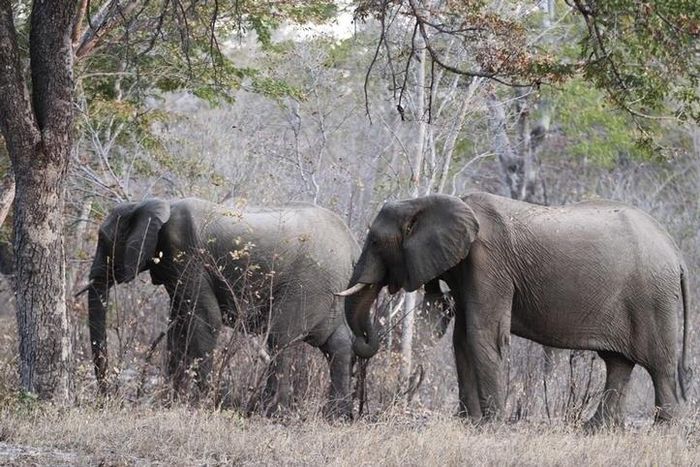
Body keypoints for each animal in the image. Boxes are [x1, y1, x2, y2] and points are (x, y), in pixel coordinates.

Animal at [82, 197, 360, 418]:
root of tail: (352, 243)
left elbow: (205, 321)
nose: (105, 398)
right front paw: (171, 403)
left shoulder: (187, 255)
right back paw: (336, 416)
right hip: (329, 290)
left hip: (309, 283)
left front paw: (208, 403)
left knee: (280, 339)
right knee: (336, 343)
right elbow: (178, 326)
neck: (154, 204)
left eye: (103, 239)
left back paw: (272, 413)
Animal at [338, 192, 691, 428]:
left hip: (652, 297)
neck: (430, 202)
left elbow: (483, 336)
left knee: (658, 365)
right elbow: (462, 340)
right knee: (618, 363)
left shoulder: (488, 263)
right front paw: (469, 422)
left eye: (374, 242)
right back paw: (595, 429)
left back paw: (664, 428)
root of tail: (675, 251)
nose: (364, 341)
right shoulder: (469, 271)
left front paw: (490, 425)